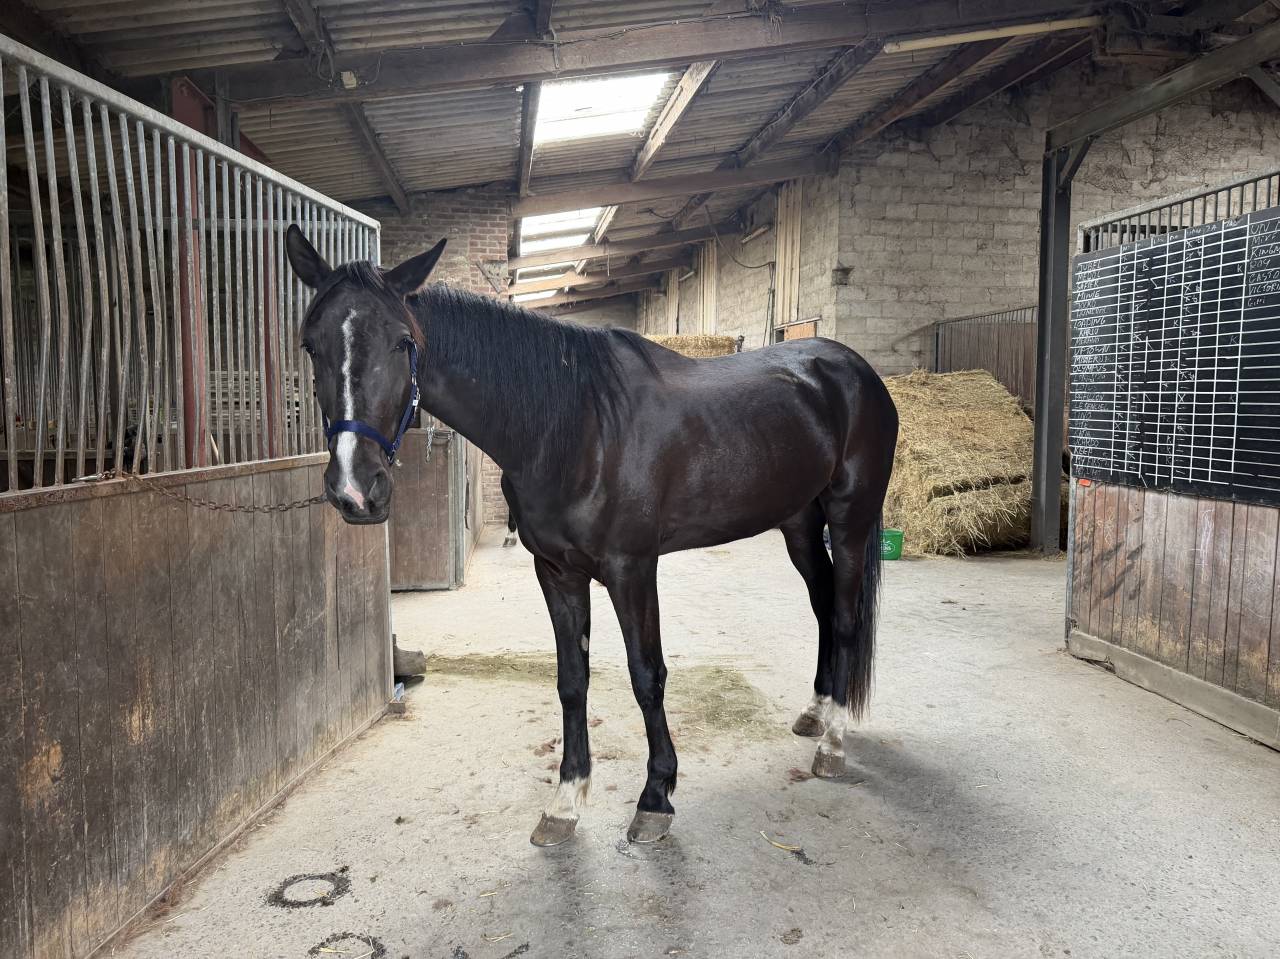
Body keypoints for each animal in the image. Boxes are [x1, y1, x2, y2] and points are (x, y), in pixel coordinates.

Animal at [284, 226, 898, 846]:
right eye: (311, 345)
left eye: (403, 343)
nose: (355, 489)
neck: (579, 425)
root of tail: (852, 368)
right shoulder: (557, 572)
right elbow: (571, 679)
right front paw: (565, 802)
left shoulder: (633, 569)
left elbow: (647, 675)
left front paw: (655, 798)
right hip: (799, 524)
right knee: (823, 607)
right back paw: (816, 712)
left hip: (850, 519)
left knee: (846, 617)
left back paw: (833, 743)